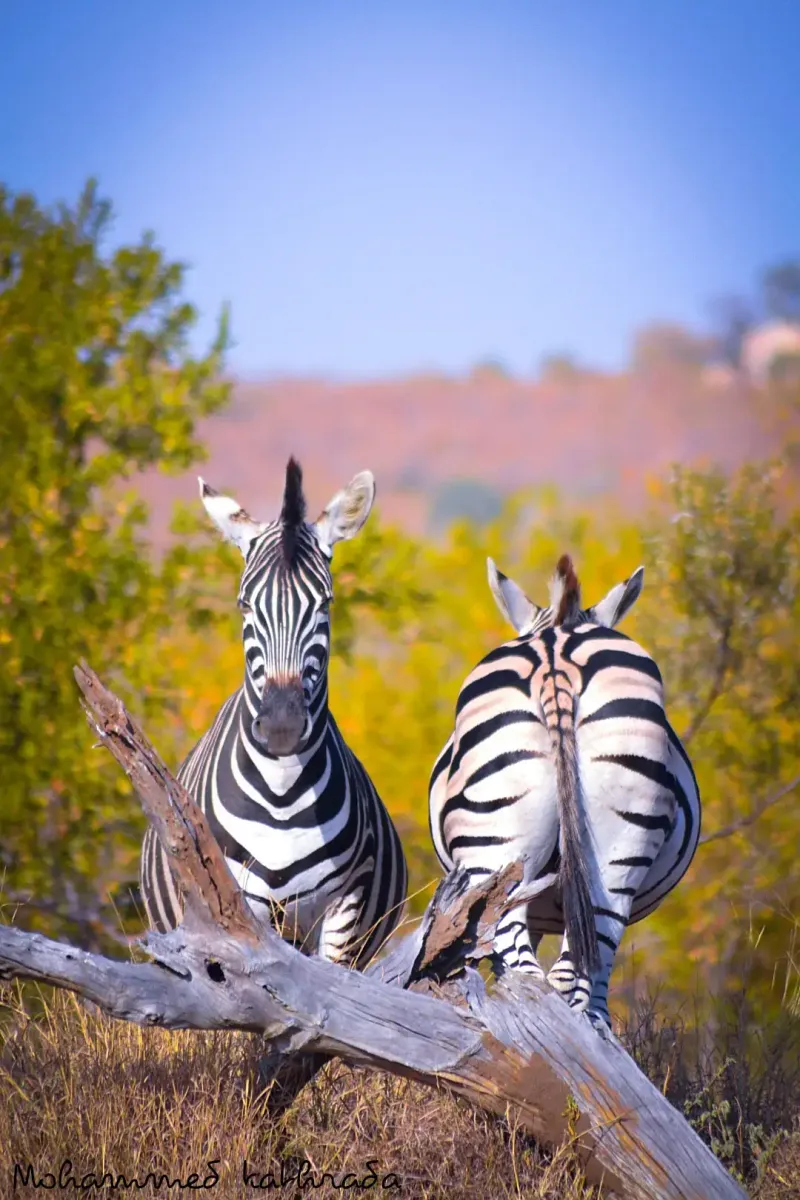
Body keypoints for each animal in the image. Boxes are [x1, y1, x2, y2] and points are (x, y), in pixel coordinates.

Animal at [141, 458, 408, 968]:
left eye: (326, 602)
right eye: (245, 603)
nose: (282, 725)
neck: (282, 791)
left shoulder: (346, 906)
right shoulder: (240, 907)